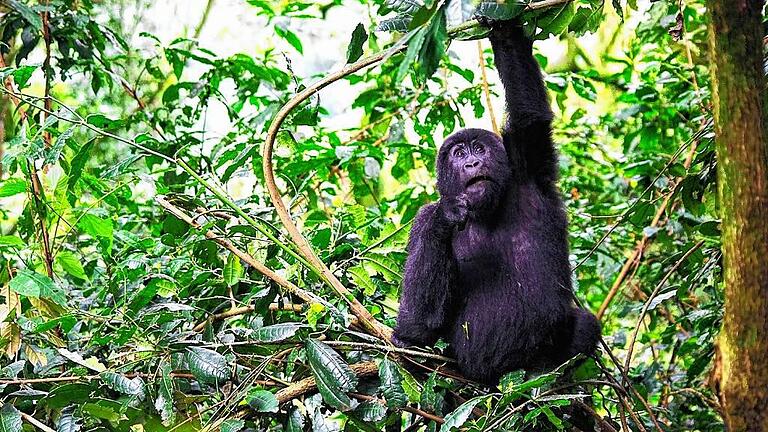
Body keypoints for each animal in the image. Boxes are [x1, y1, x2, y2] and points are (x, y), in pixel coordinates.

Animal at [392, 21, 604, 384]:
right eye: (458, 154)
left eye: (479, 149)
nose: (472, 163)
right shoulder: (421, 221)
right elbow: (419, 323)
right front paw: (447, 215)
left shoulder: (527, 163)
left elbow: (529, 118)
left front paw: (504, 31)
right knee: (412, 346)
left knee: (584, 326)